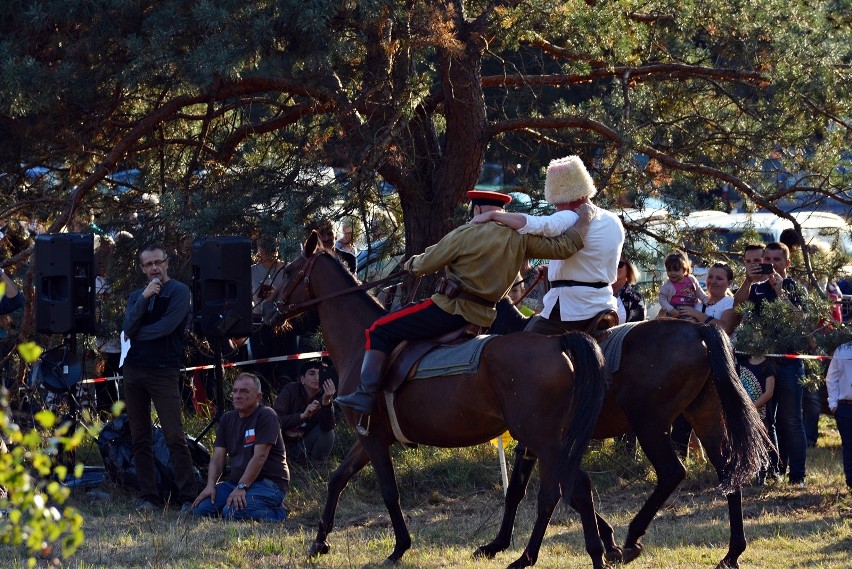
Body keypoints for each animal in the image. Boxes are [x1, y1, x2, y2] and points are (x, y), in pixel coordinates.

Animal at [270, 232, 608, 568]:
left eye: (289, 271)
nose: (265, 310)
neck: (360, 345)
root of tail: (557, 342)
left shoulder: (372, 438)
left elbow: (389, 491)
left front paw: (399, 548)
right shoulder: (368, 438)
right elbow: (338, 479)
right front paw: (319, 542)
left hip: (542, 440)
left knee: (573, 488)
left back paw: (587, 554)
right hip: (546, 442)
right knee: (557, 492)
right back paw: (537, 555)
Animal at [472, 320, 772, 568]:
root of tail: (698, 328)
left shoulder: (542, 442)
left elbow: (545, 491)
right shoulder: (539, 444)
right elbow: (521, 490)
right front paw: (496, 545)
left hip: (649, 422)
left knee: (672, 472)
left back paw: (633, 537)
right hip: (703, 412)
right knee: (728, 471)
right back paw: (732, 553)